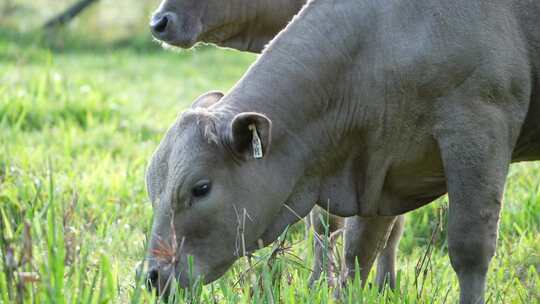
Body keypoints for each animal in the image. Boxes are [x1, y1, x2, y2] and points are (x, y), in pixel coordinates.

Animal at [143, 0, 540, 304]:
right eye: (153, 191)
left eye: (200, 188)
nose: (152, 276)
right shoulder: (378, 161)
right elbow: (358, 252)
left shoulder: (480, 129)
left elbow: (470, 249)